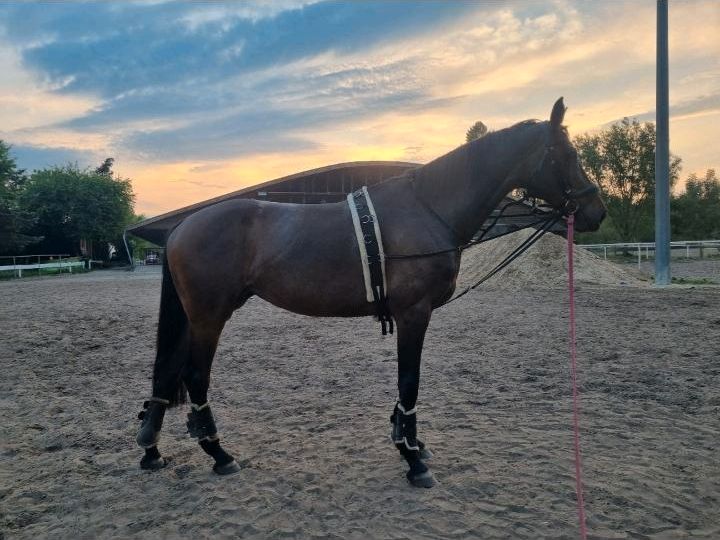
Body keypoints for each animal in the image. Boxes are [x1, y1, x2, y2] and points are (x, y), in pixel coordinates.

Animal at [136, 98, 608, 490]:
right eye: (569, 154)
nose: (596, 211)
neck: (427, 208)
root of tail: (181, 227)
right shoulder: (413, 313)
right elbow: (409, 381)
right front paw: (413, 460)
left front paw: (411, 441)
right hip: (209, 318)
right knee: (195, 378)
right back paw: (219, 454)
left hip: (195, 317)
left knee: (167, 373)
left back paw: (151, 450)